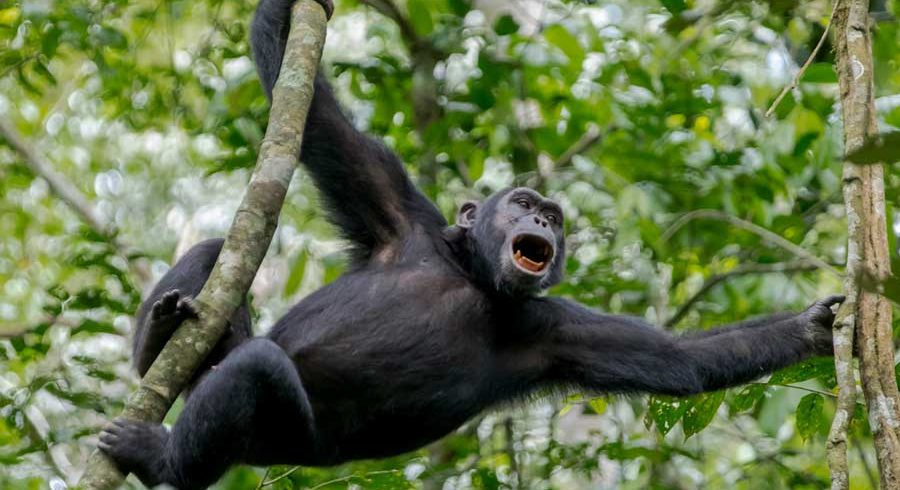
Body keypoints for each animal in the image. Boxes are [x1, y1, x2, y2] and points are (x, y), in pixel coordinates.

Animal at [98, 1, 844, 488]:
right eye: (525, 206)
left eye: (555, 217)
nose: (545, 223)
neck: (470, 274)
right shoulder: (396, 207)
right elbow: (312, 112)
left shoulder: (556, 326)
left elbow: (680, 360)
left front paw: (811, 328)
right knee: (219, 260)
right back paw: (157, 339)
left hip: (279, 440)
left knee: (253, 372)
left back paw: (163, 462)